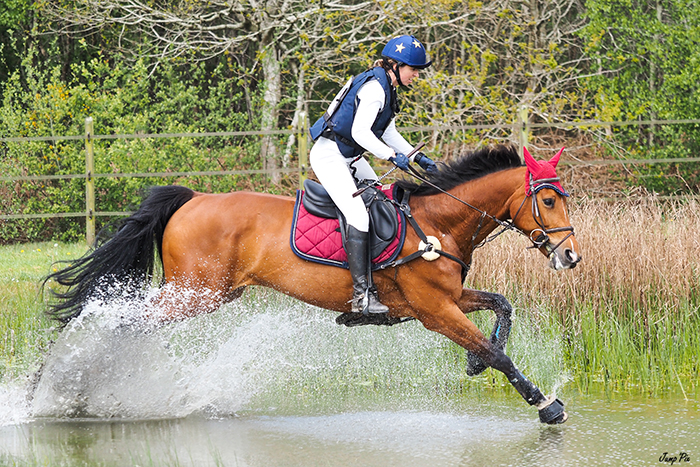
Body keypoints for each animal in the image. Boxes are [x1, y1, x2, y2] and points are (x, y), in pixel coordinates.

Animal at [43, 144, 580, 426]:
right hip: (195, 293)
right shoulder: (434, 311)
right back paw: (72, 388)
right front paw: (545, 405)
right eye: (549, 200)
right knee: (121, 322)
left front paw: (473, 362)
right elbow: (498, 355)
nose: (571, 256)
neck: (438, 223)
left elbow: (501, 307)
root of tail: (193, 198)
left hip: (209, 293)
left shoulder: (446, 301)